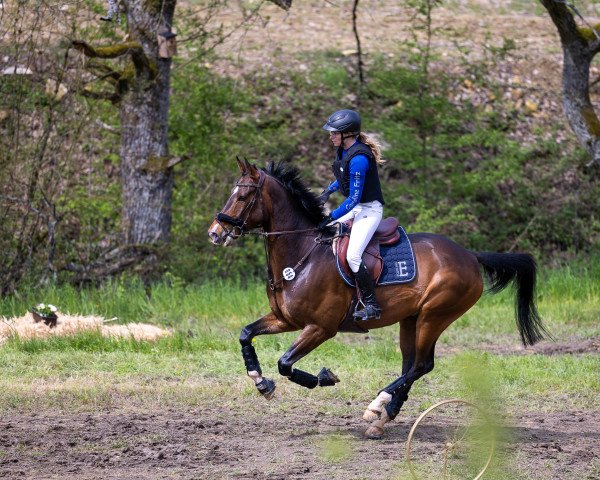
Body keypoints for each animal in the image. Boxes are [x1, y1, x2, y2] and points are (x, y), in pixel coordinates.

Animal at [207, 158, 548, 438]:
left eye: (242, 197)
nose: (214, 232)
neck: (303, 253)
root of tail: (470, 256)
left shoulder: (320, 328)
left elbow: (285, 363)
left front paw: (324, 377)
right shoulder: (285, 319)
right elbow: (246, 335)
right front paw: (260, 381)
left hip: (434, 316)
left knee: (421, 365)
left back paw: (376, 406)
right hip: (411, 320)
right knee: (411, 365)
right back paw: (384, 419)